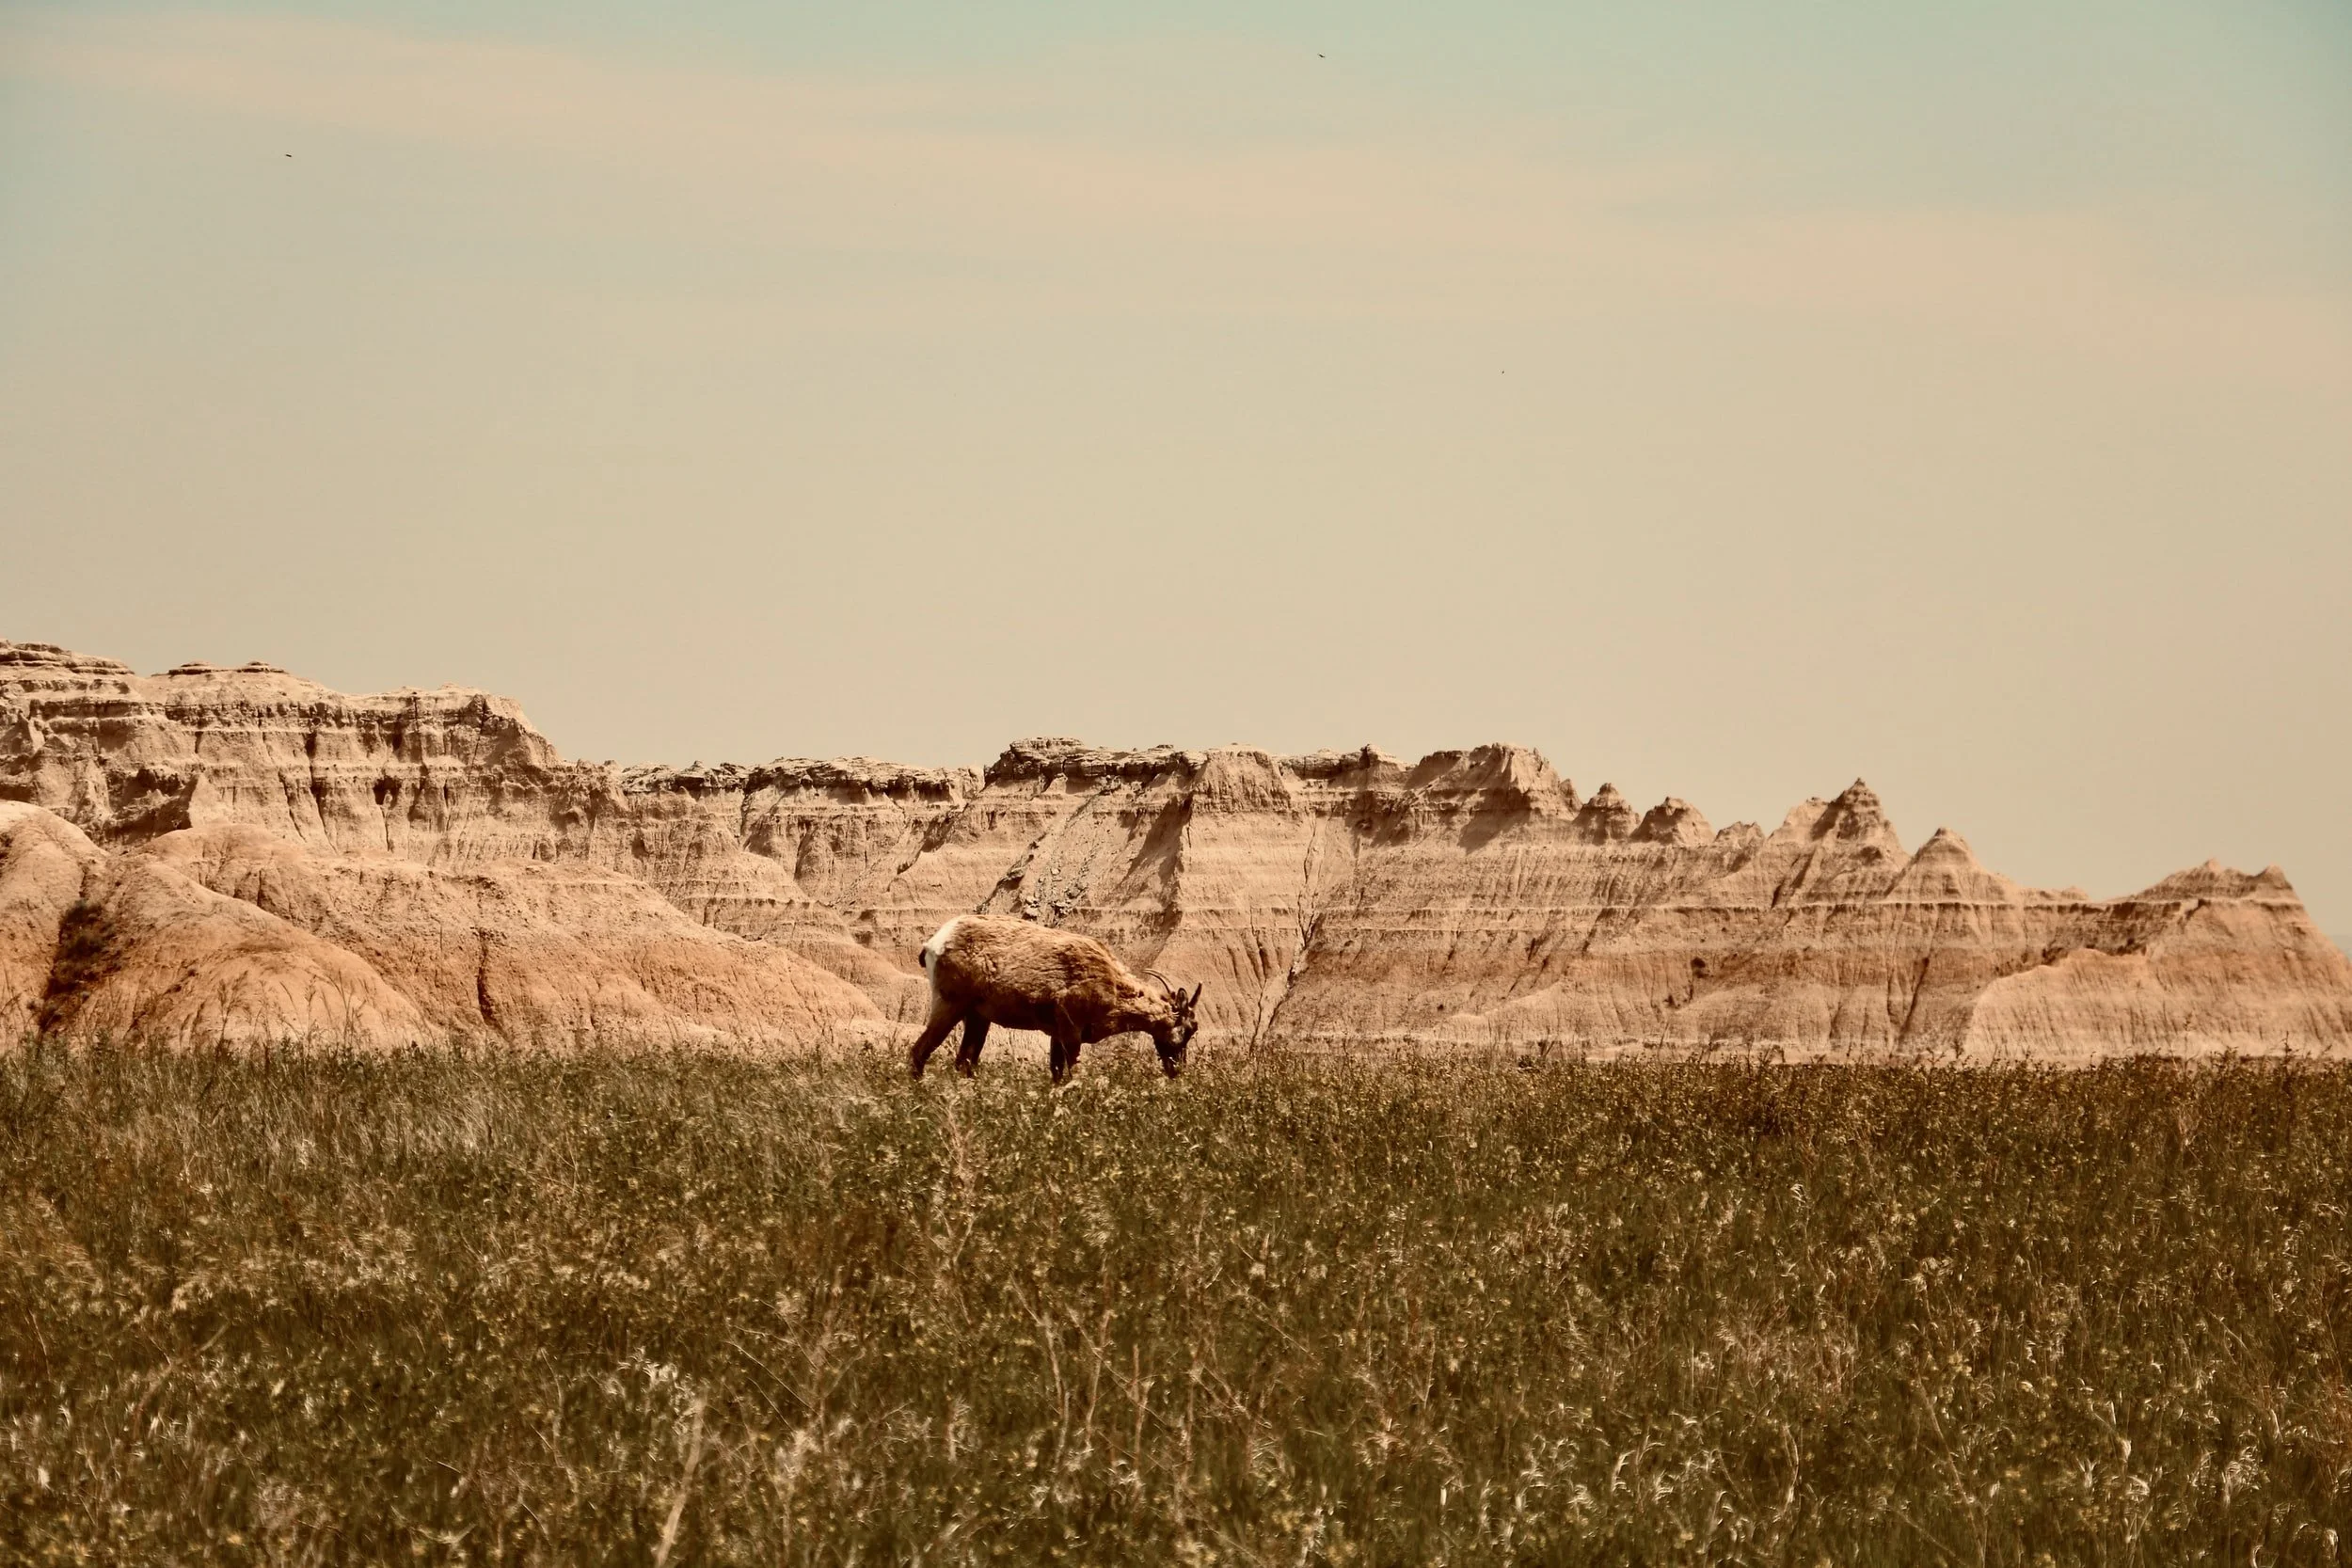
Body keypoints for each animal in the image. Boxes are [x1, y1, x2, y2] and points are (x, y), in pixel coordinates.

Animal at [909, 914, 1202, 1083]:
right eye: (1188, 1030)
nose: (1177, 1071)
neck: (1112, 984)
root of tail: (934, 943)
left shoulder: (1056, 1034)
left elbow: (1057, 1074)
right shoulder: (1070, 1029)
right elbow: (1072, 1073)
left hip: (977, 1016)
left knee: (964, 1062)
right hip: (950, 1005)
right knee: (920, 1051)